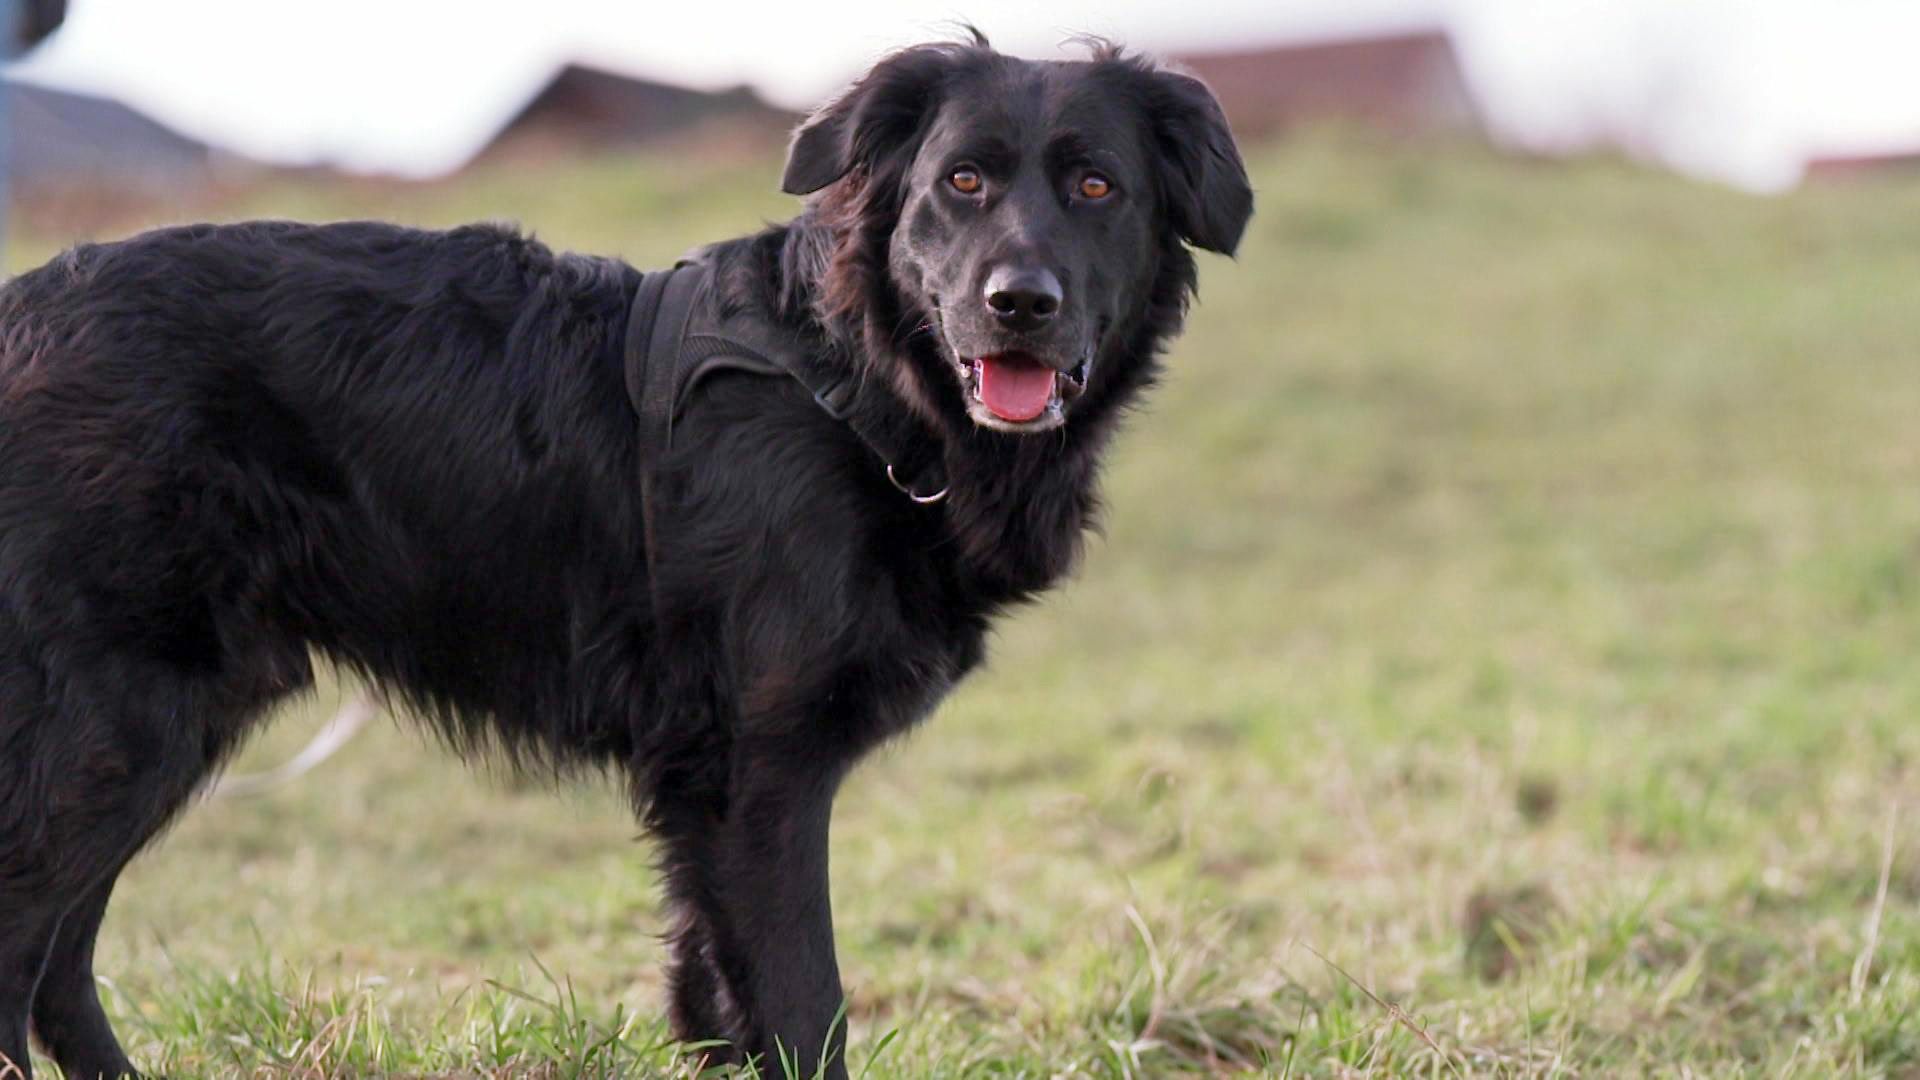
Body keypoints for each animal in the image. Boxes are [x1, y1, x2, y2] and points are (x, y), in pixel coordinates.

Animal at [0, 37, 1244, 1068]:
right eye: (963, 183)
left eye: (1097, 187)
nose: (1018, 303)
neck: (855, 387)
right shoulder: (760, 774)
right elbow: (805, 1011)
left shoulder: (708, 791)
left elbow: (725, 1007)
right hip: (115, 718)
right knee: (25, 949)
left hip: (166, 721)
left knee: (56, 961)